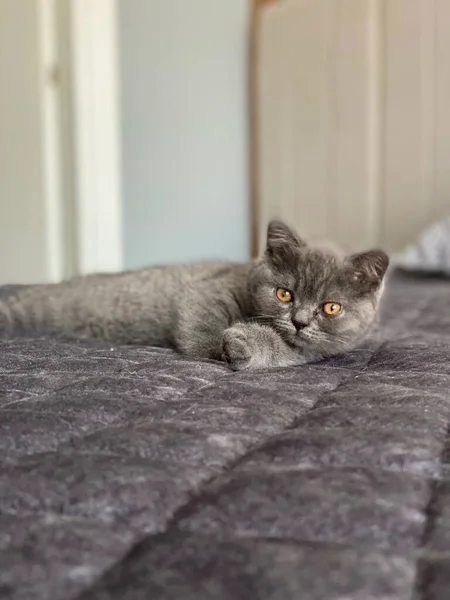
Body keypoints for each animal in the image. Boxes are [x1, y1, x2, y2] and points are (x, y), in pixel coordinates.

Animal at [0, 221, 386, 370]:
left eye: (331, 307)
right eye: (284, 293)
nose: (300, 321)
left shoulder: (314, 351)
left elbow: (283, 352)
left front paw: (245, 345)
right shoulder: (206, 291)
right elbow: (202, 328)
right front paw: (220, 348)